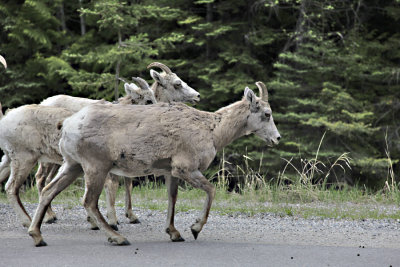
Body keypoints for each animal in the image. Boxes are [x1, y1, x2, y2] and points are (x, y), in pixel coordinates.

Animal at [0, 78, 158, 228]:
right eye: (148, 100)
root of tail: (6, 119)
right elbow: (110, 187)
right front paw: (111, 222)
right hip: (26, 159)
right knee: (18, 186)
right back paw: (34, 221)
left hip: (11, 158)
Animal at [28, 82, 282, 247]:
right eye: (267, 114)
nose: (277, 138)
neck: (212, 130)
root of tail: (68, 125)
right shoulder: (186, 168)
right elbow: (211, 190)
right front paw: (194, 229)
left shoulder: (171, 172)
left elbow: (172, 199)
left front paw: (175, 233)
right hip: (95, 168)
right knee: (88, 201)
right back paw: (118, 238)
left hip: (72, 165)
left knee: (48, 190)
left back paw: (37, 236)